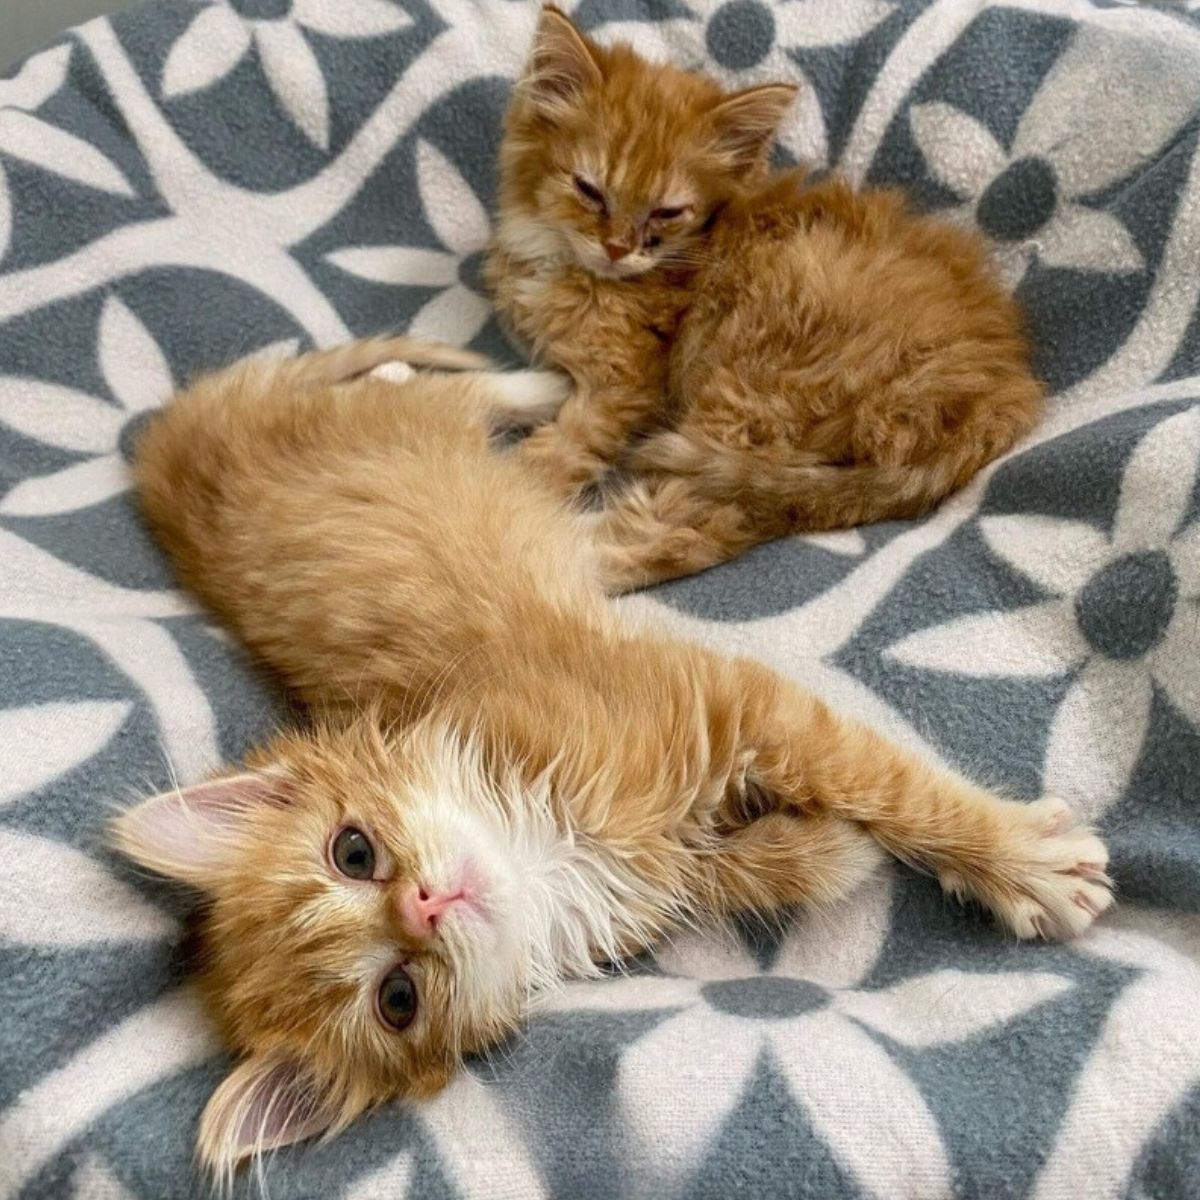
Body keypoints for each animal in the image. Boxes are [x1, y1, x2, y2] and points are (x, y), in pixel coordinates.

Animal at [114, 336, 1104, 1180]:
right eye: (398, 999)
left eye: (352, 852)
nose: (427, 905)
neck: (543, 842)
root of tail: (168, 446)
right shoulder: (665, 859)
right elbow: (747, 872)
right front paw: (829, 852)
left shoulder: (734, 705)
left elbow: (897, 788)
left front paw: (1021, 861)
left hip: (399, 426)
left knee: (441, 390)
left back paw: (533, 382)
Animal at [482, 8, 1046, 590]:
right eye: (589, 191)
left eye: (667, 213)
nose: (618, 247)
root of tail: (999, 392)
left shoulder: (621, 386)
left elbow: (556, 453)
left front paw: (503, 484)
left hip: (752, 386)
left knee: (697, 527)